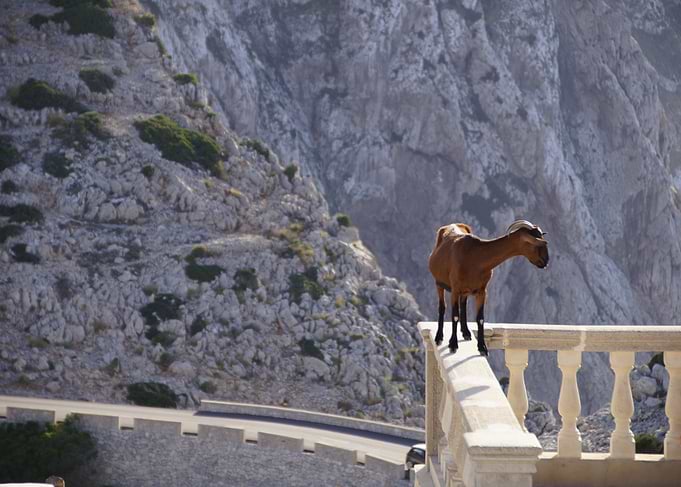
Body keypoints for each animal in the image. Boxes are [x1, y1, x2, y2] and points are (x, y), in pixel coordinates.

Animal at [428, 220, 549, 355]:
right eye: (536, 243)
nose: (545, 261)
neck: (475, 258)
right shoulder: (455, 288)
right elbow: (454, 316)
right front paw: (453, 345)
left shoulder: (482, 291)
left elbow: (480, 318)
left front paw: (482, 347)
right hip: (439, 283)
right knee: (442, 307)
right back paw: (439, 337)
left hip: (465, 291)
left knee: (463, 305)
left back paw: (466, 333)